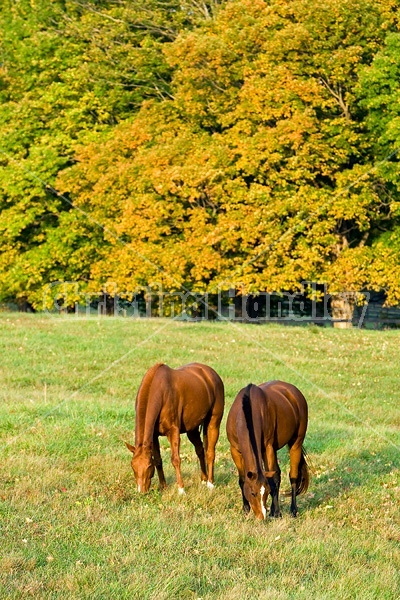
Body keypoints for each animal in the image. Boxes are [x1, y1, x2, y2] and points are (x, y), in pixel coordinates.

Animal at [126, 364, 223, 494]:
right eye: (133, 466)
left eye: (149, 466)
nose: (141, 491)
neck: (160, 392)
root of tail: (211, 373)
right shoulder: (154, 436)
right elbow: (158, 460)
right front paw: (163, 487)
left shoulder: (173, 432)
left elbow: (175, 459)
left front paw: (181, 489)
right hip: (192, 429)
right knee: (200, 450)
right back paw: (203, 479)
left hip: (213, 424)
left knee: (210, 452)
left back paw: (210, 483)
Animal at [227, 382, 308, 516]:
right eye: (253, 493)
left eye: (266, 492)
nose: (262, 515)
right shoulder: (235, 450)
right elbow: (242, 479)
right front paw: (246, 508)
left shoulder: (267, 448)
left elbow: (272, 480)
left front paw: (276, 513)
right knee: (278, 473)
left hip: (296, 443)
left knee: (293, 476)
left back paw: (293, 510)